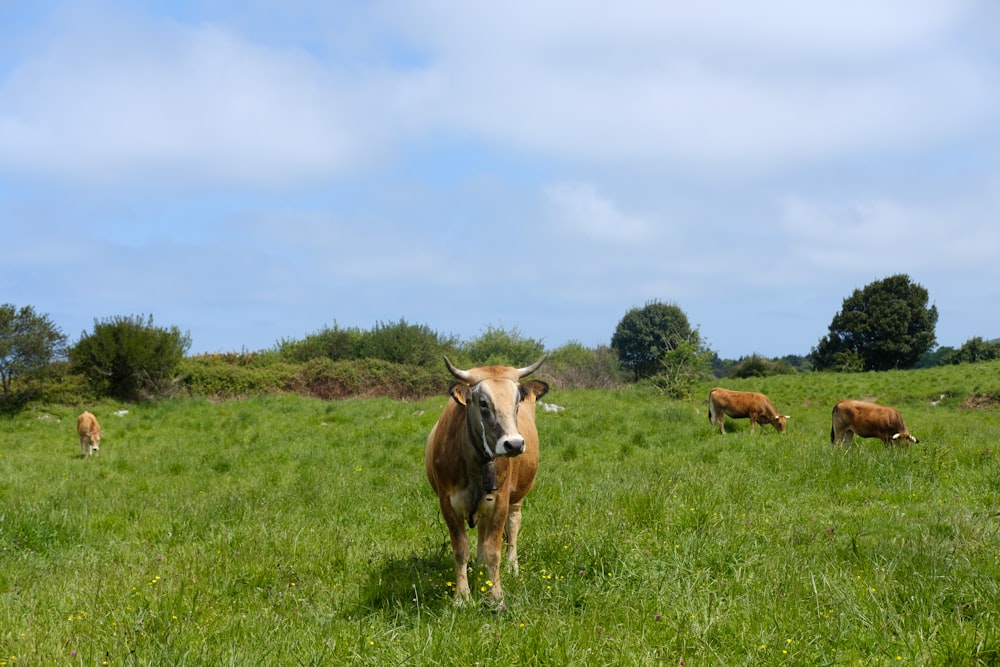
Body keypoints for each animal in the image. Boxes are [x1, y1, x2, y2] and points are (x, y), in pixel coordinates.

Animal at [422, 358, 548, 608]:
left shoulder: (500, 502)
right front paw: (462, 596)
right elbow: (461, 549)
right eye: (482, 402)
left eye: (517, 401)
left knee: (513, 526)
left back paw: (512, 566)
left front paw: (496, 596)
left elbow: (494, 550)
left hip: (516, 498)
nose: (514, 444)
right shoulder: (447, 503)